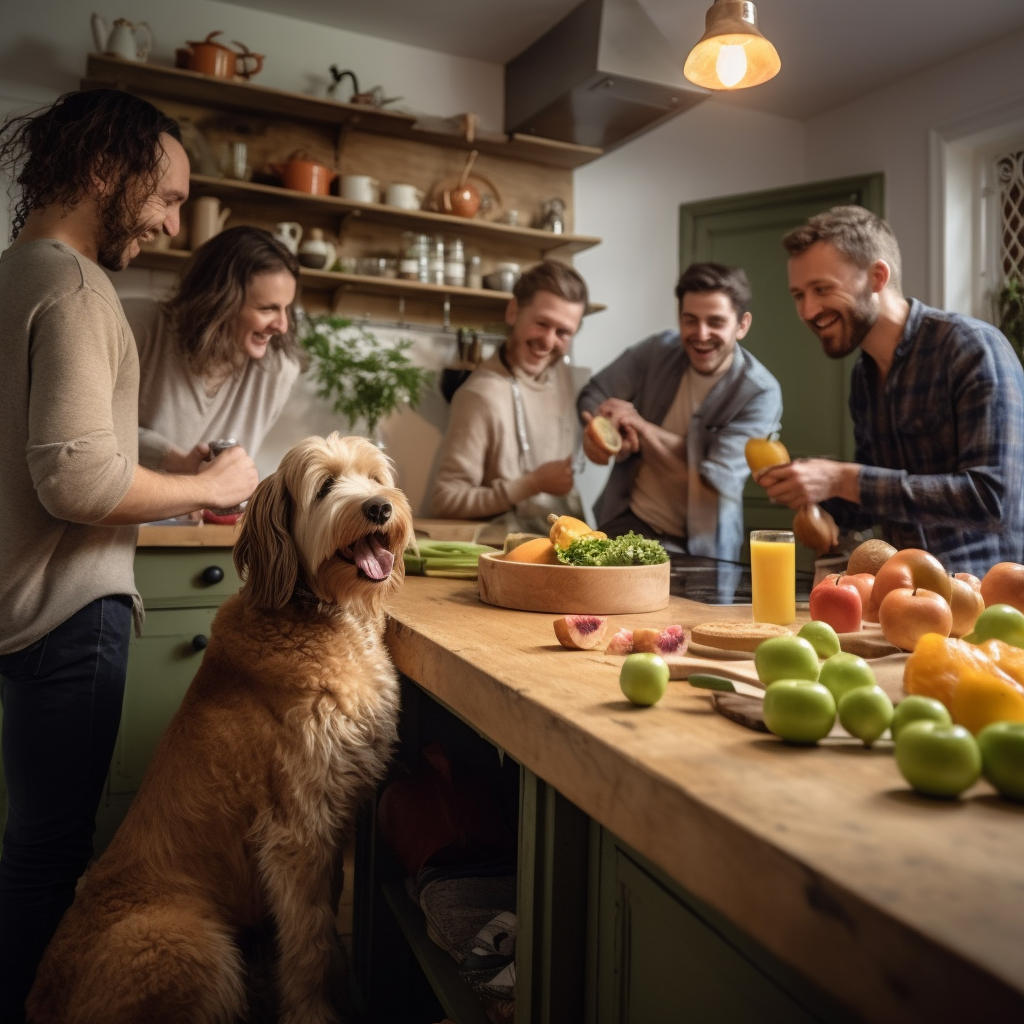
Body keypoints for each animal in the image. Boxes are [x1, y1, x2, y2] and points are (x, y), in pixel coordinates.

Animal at [32, 434, 415, 1024]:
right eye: (326, 486)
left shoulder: (330, 820)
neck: (315, 609)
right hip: (191, 946)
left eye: (375, 479)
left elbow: (325, 919)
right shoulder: (296, 829)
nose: (379, 508)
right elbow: (310, 940)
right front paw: (315, 1011)